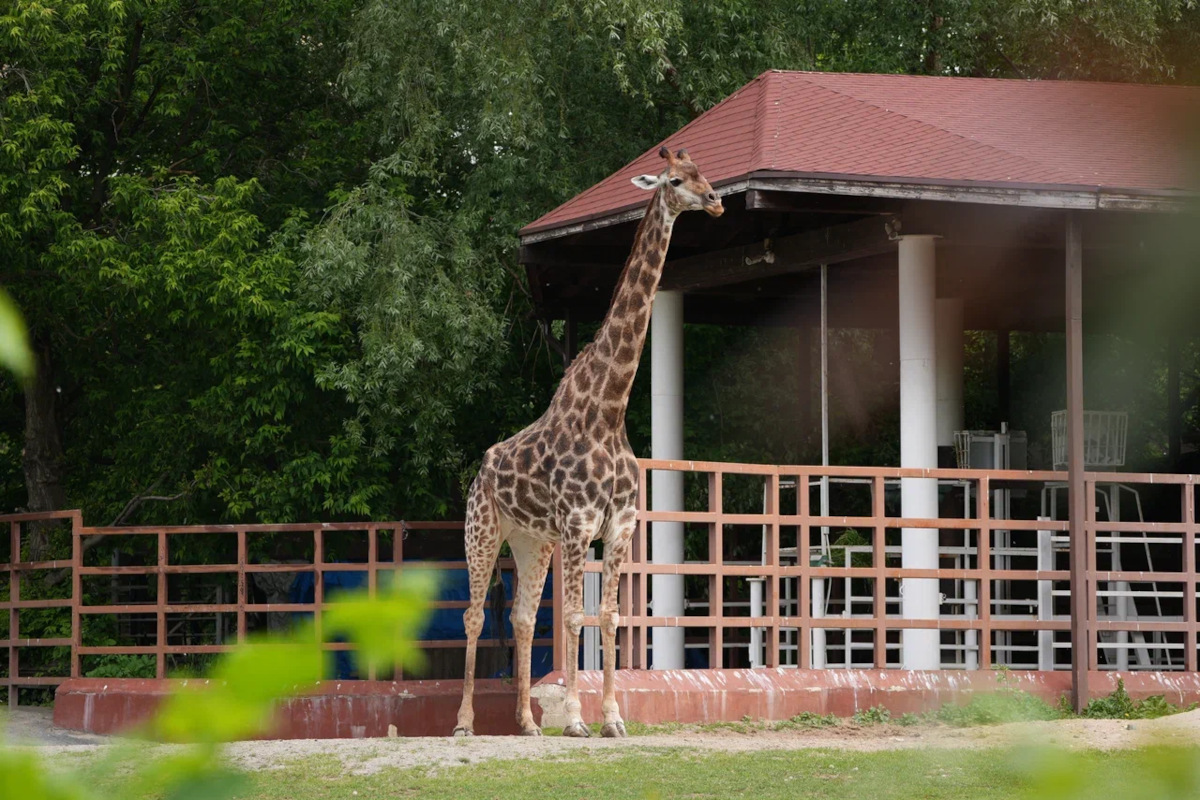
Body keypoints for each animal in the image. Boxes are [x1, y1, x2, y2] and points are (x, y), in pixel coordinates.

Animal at [453, 146, 723, 738]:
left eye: (704, 174)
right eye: (675, 180)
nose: (716, 202)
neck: (609, 407)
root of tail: (482, 468)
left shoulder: (619, 525)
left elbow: (611, 616)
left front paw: (614, 720)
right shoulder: (578, 524)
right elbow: (577, 616)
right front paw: (577, 719)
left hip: (531, 541)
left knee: (522, 615)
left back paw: (527, 724)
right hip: (483, 530)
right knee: (475, 614)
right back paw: (464, 723)